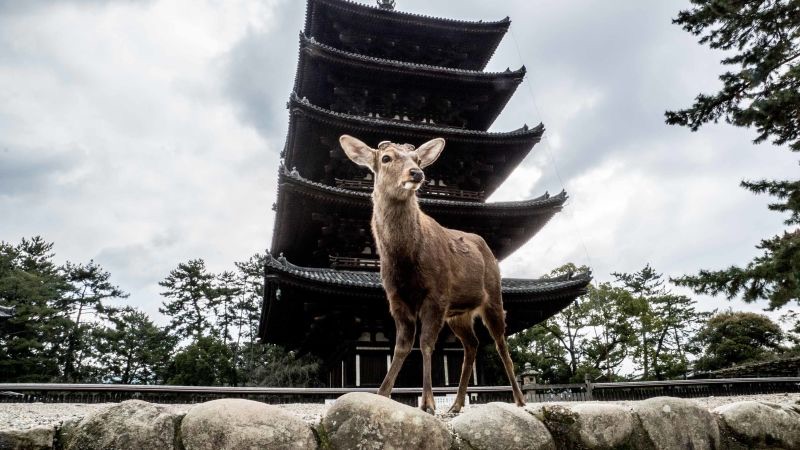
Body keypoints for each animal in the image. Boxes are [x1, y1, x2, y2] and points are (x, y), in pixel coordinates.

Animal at [339, 134, 526, 414]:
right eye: (386, 158)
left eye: (417, 158)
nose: (416, 173)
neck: (405, 260)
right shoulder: (396, 298)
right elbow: (402, 346)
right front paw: (381, 394)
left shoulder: (437, 293)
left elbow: (426, 343)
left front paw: (427, 402)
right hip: (458, 314)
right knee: (472, 345)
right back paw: (456, 405)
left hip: (493, 296)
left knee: (502, 345)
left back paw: (520, 399)